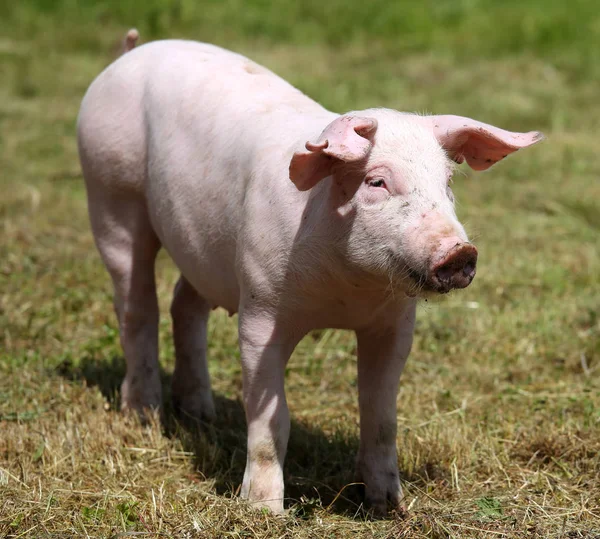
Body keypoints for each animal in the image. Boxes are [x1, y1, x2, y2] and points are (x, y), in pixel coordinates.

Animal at [76, 32, 544, 516]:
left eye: (447, 182)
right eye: (376, 182)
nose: (460, 251)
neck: (344, 293)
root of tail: (132, 52)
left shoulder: (394, 324)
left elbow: (381, 416)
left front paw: (388, 505)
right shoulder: (260, 309)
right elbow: (271, 417)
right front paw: (264, 511)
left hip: (202, 244)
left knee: (184, 303)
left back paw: (201, 413)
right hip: (110, 191)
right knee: (136, 305)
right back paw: (143, 415)